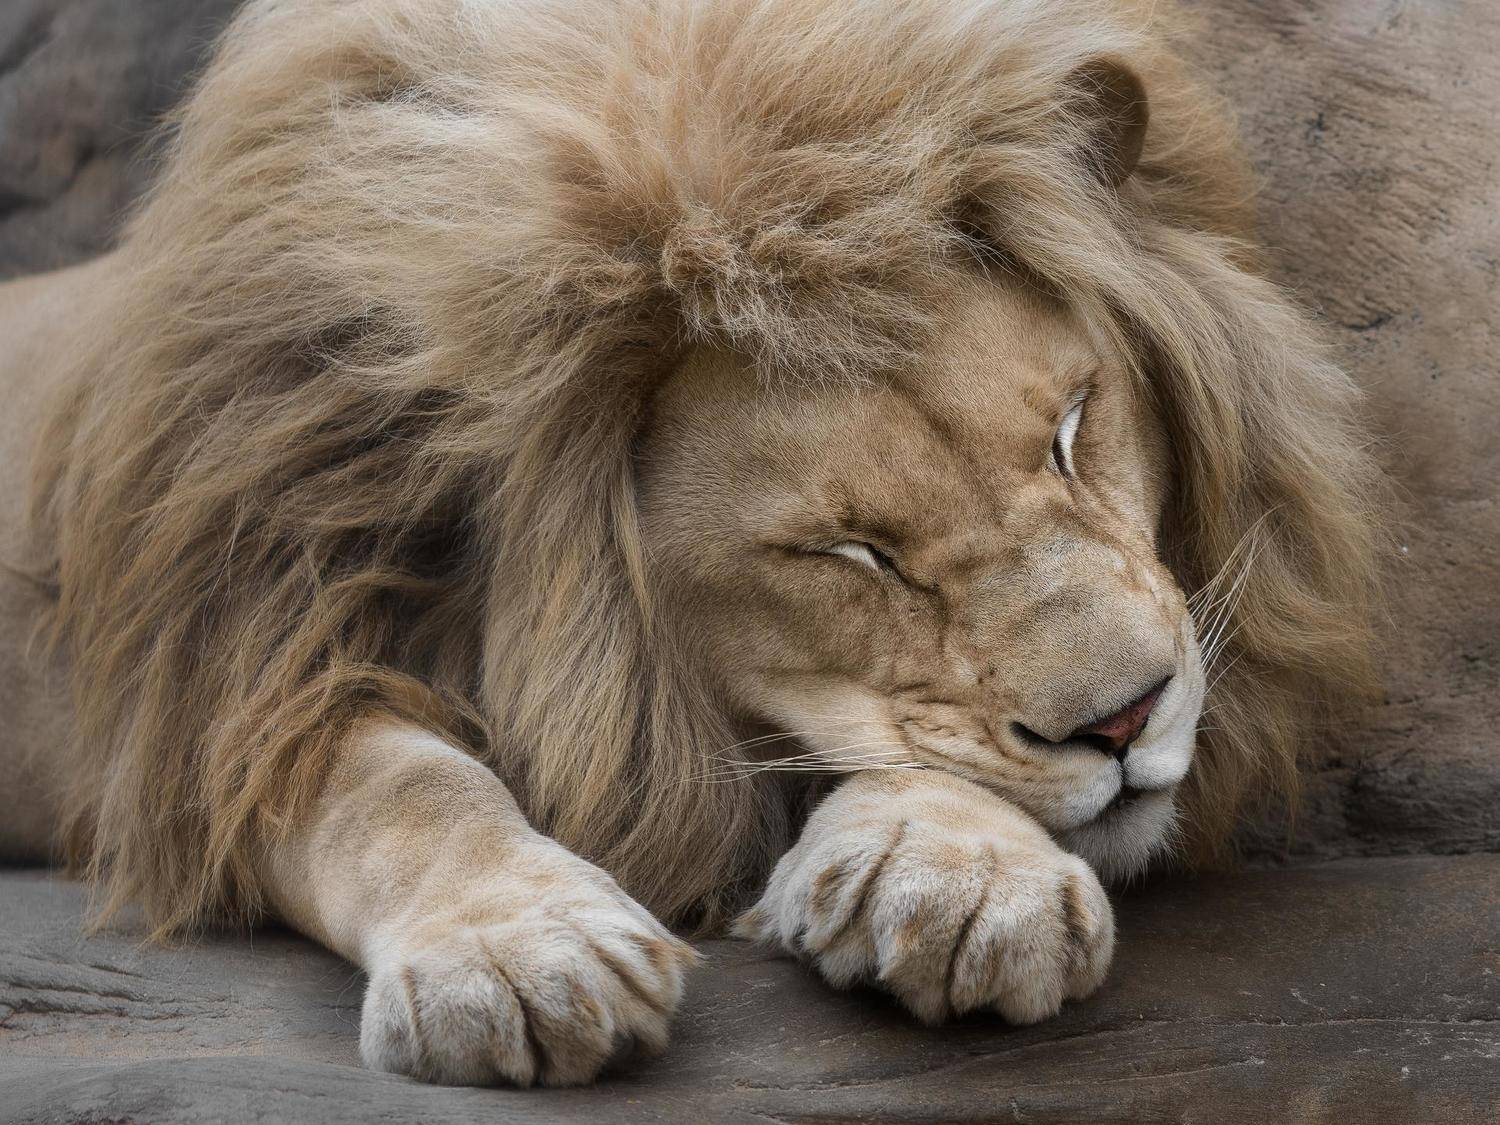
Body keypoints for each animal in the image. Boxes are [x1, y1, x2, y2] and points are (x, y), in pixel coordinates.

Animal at [0, 0, 1385, 1088]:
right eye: (848, 554)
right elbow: (399, 787)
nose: (1128, 720)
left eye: (1072, 428)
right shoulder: (234, 688)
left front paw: (955, 870)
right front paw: (518, 951)